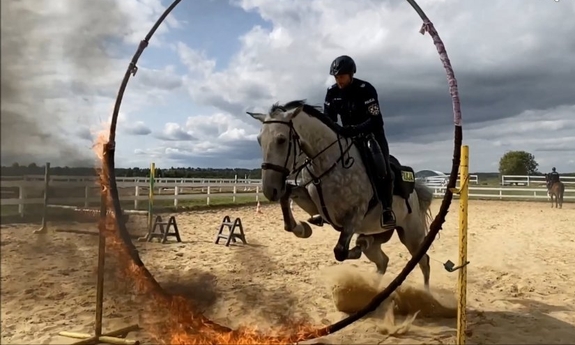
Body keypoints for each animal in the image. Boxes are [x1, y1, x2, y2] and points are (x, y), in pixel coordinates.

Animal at [245, 99, 434, 288]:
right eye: (259, 141)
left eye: (281, 140)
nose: (270, 190)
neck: (330, 162)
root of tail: (415, 194)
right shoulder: (314, 205)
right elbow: (287, 197)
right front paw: (302, 229)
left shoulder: (355, 214)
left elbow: (340, 251)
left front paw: (357, 247)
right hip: (378, 233)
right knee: (382, 261)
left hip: (412, 236)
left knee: (423, 261)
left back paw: (425, 291)